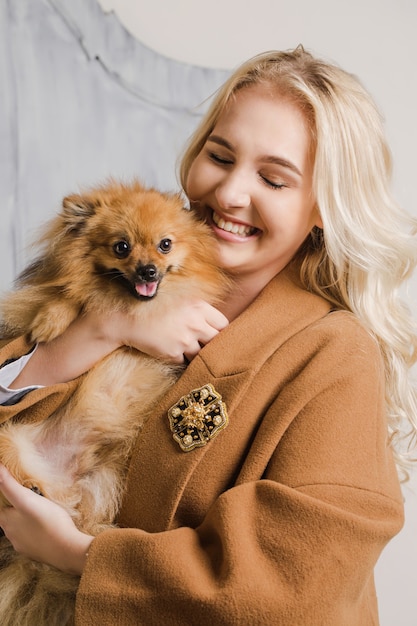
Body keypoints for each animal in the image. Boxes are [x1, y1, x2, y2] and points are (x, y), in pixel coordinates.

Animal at [0, 178, 228, 620]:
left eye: (165, 245)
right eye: (121, 247)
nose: (148, 270)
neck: (131, 304)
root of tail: (59, 483)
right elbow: (67, 299)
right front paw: (49, 321)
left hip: (101, 483)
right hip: (9, 442)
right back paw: (32, 488)